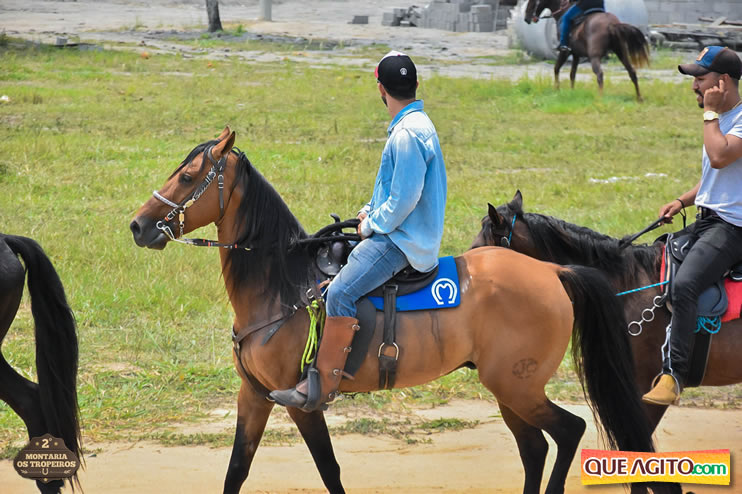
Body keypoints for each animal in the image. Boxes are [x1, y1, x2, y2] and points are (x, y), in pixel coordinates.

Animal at [129, 127, 669, 494]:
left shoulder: (301, 402)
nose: (138, 225)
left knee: (568, 431)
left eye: (188, 176)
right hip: (509, 388)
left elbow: (329, 469)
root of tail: (554, 272)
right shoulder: (254, 395)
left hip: (516, 385)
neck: (285, 287)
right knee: (535, 445)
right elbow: (236, 470)